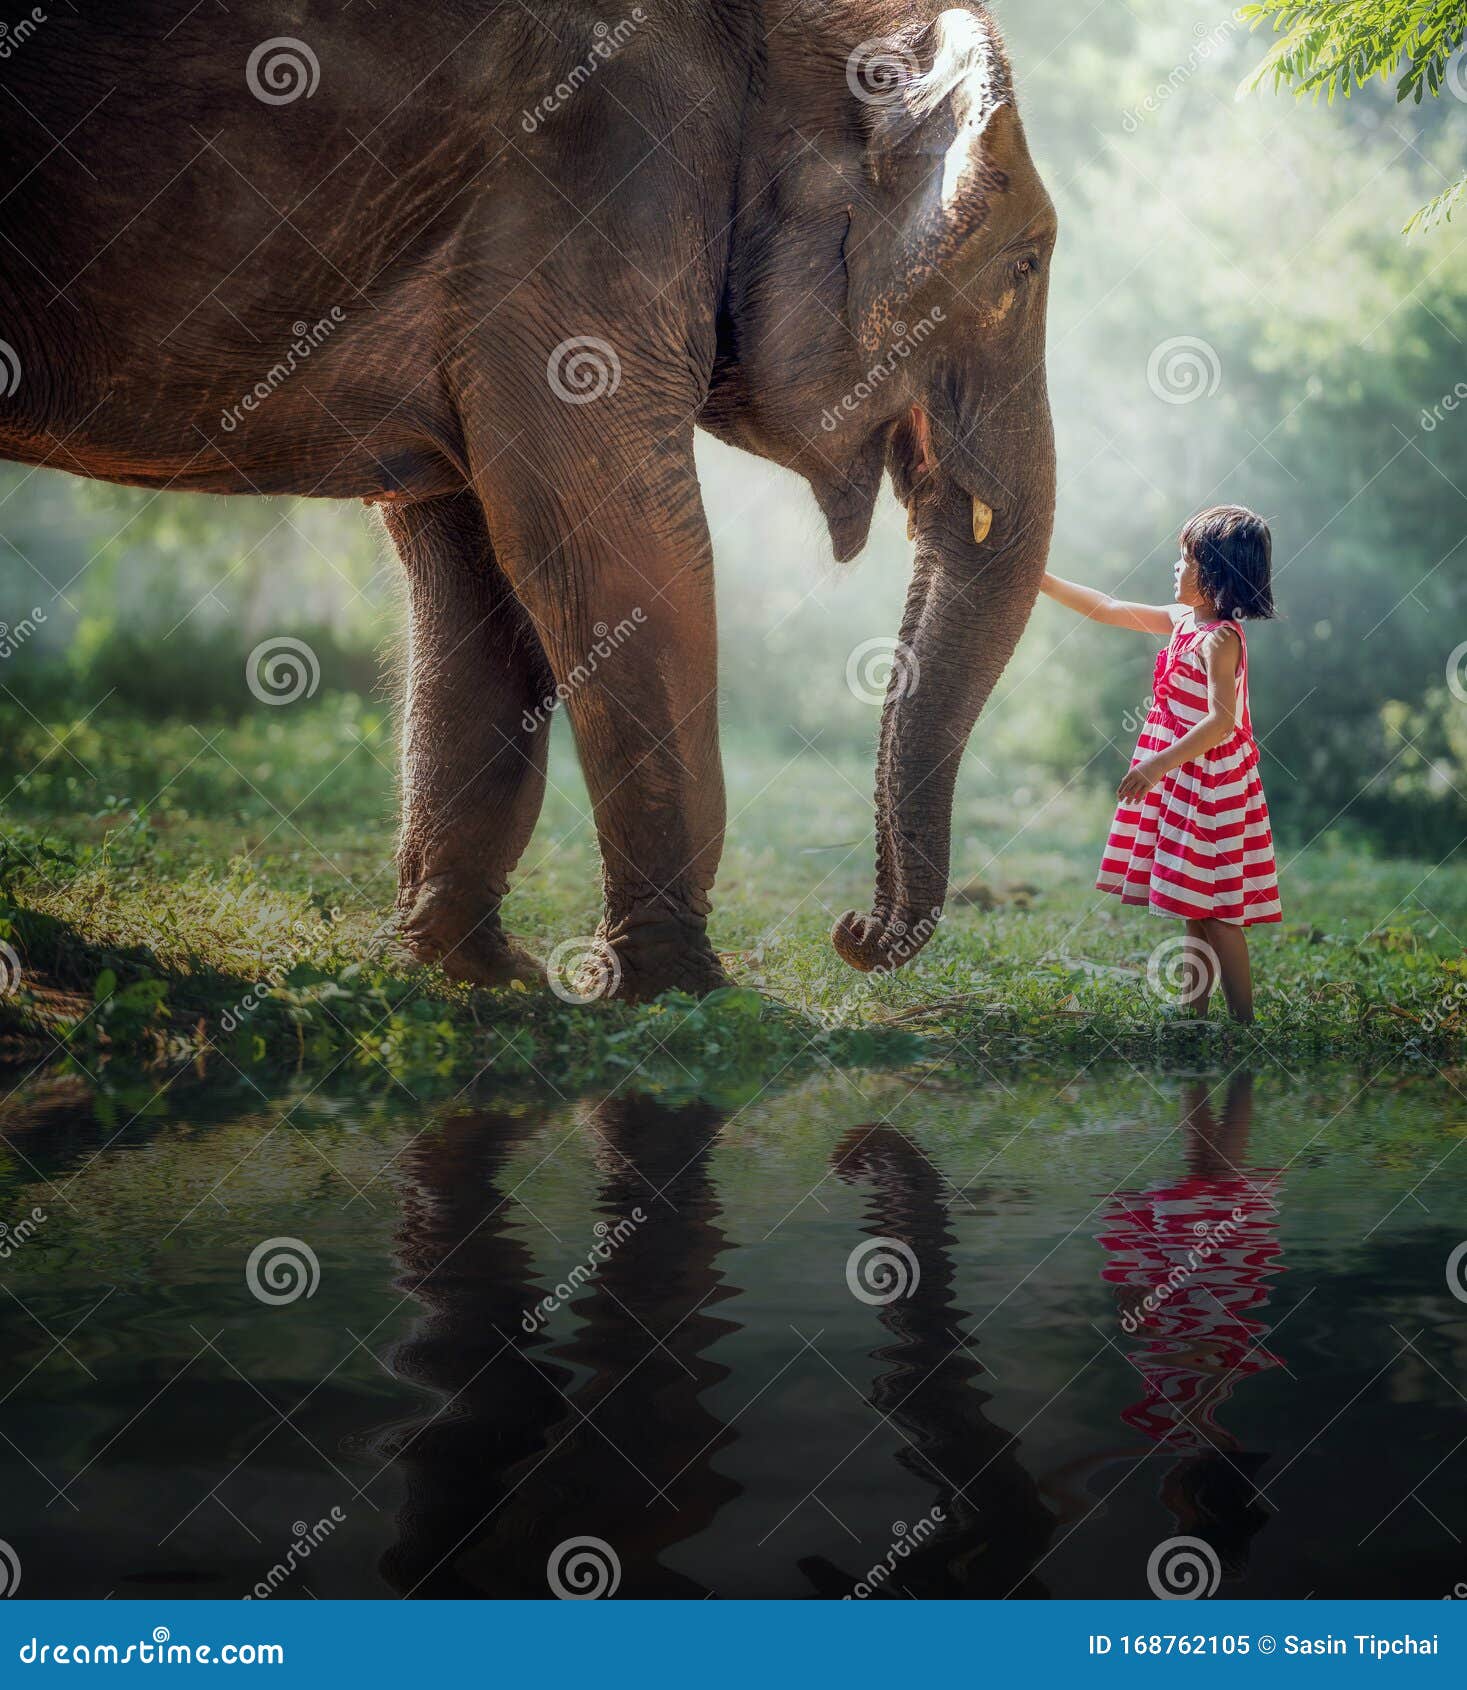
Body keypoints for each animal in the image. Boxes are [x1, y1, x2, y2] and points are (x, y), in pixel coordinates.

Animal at [0, 0, 1058, 1001]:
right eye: (1025, 268)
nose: (852, 932)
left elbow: (480, 580)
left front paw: (472, 972)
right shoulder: (596, 192)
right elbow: (623, 548)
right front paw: (688, 993)